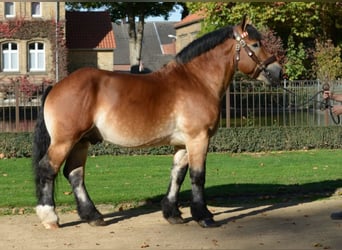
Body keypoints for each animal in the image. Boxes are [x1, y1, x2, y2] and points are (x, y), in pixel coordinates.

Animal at [33, 16, 282, 229]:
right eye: (256, 44)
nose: (278, 71)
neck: (196, 81)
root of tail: (57, 86)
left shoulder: (183, 143)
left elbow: (177, 175)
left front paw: (173, 213)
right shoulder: (198, 139)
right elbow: (197, 176)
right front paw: (203, 216)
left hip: (81, 142)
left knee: (74, 174)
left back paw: (93, 216)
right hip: (65, 141)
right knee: (48, 168)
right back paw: (50, 217)